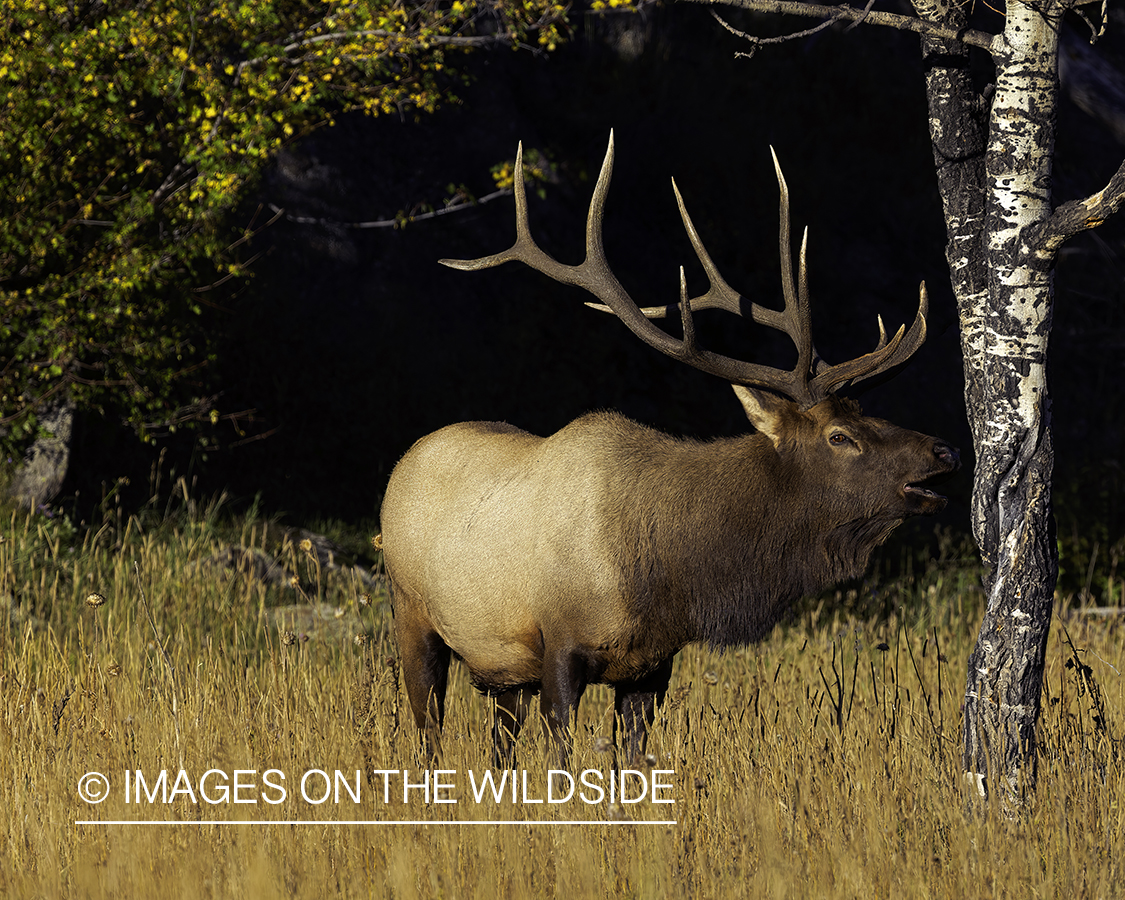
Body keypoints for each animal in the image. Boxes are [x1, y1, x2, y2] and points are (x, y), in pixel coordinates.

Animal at [380, 133, 958, 765]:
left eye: (866, 414)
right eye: (839, 435)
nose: (944, 451)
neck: (667, 575)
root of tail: (403, 464)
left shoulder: (652, 666)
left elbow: (632, 763)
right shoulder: (559, 644)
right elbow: (561, 759)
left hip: (502, 669)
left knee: (499, 743)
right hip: (413, 615)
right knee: (427, 732)